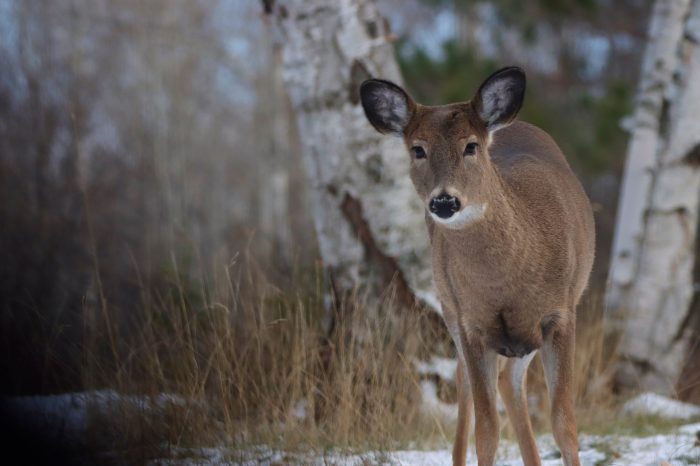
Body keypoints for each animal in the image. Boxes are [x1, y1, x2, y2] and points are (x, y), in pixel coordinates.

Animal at [360, 66, 596, 466]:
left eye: (470, 146)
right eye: (417, 149)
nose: (444, 201)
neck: (506, 283)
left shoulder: (561, 314)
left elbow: (564, 423)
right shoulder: (473, 324)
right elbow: (486, 431)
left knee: (509, 382)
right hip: (451, 308)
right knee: (471, 382)